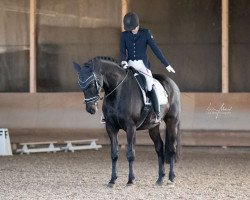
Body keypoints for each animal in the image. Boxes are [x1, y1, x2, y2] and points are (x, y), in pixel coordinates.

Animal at [73, 55, 181, 186]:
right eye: (80, 83)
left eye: (93, 83)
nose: (91, 109)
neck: (118, 91)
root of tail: (171, 82)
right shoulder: (111, 127)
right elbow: (114, 154)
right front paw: (112, 180)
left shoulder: (131, 127)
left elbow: (130, 153)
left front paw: (130, 180)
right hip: (153, 126)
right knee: (159, 148)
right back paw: (160, 179)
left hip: (172, 121)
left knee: (171, 148)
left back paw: (171, 178)